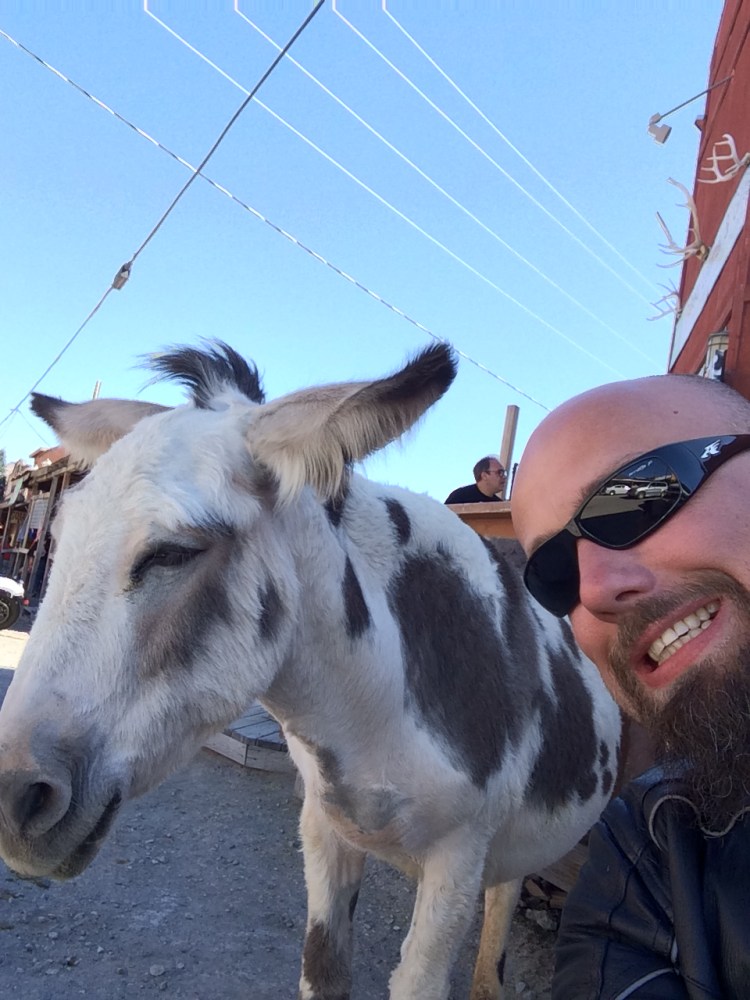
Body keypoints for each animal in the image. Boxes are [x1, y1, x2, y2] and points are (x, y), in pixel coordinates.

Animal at [0, 342, 620, 999]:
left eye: (173, 553)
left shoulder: (458, 856)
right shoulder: (326, 829)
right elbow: (322, 970)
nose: (11, 800)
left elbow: (420, 979)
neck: (374, 707)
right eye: (59, 539)